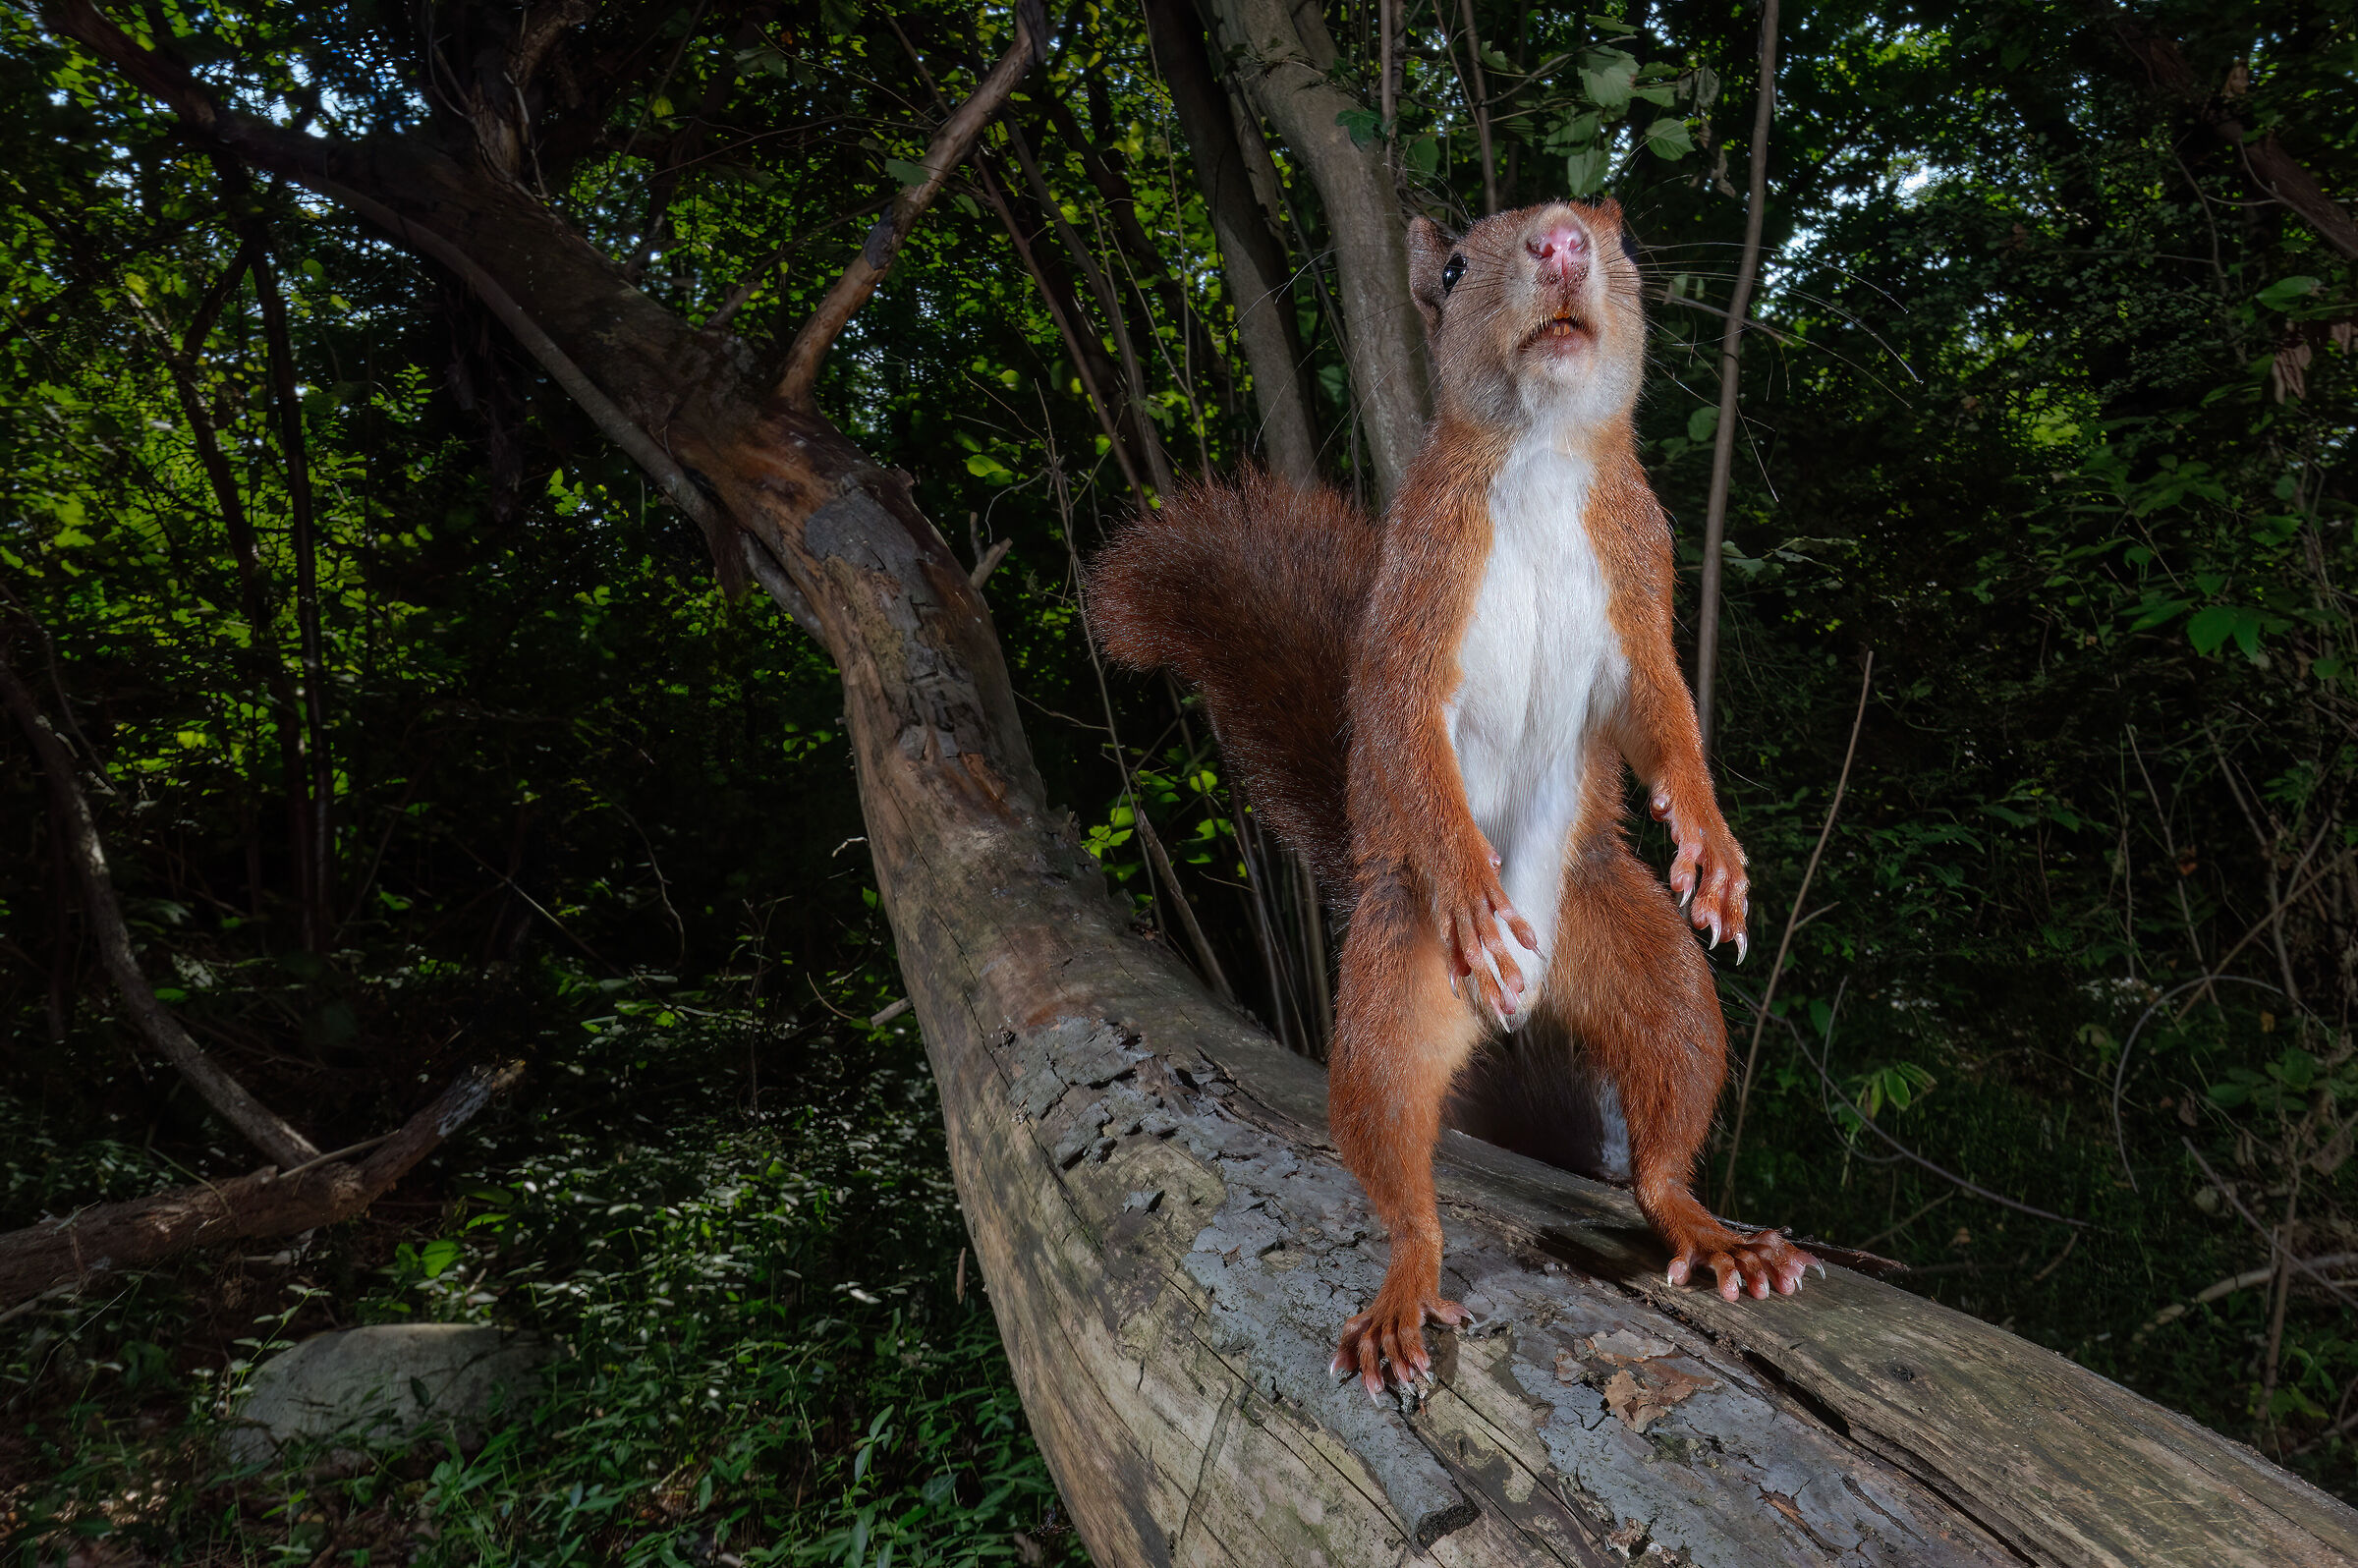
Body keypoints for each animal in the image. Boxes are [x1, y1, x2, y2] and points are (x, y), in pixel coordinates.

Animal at [1088, 198, 1816, 1398]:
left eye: (1622, 244)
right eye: (1461, 264)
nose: (1563, 243)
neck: (1545, 459)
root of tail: (1516, 1013)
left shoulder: (1640, 580)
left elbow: (1662, 714)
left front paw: (1711, 845)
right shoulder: (1416, 595)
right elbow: (1403, 728)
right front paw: (1474, 881)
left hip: (1635, 954)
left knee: (1667, 1117)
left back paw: (1711, 1233)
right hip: (1393, 988)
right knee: (1401, 1171)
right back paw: (1404, 1288)